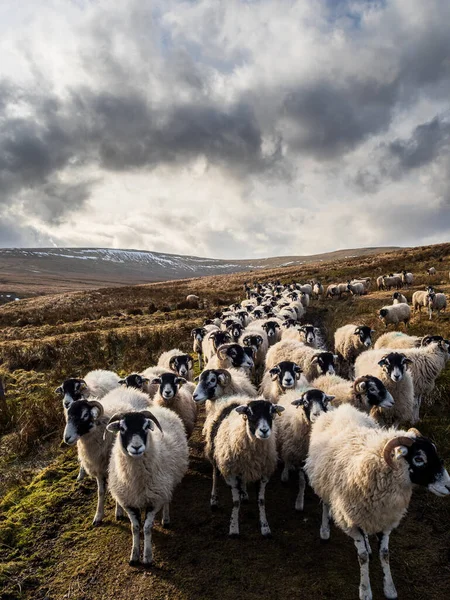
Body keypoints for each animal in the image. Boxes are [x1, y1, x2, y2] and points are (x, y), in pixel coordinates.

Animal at [62, 390, 152, 524]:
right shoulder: (99, 468)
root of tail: (132, 390)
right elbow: (100, 492)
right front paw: (98, 516)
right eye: (68, 415)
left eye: (85, 415)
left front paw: (118, 511)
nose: (66, 438)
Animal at [106, 406, 189, 564]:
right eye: (122, 428)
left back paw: (166, 519)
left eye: (145, 427)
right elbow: (135, 527)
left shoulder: (155, 499)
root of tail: (159, 407)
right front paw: (134, 556)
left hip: (166, 483)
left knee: (167, 499)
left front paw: (148, 557)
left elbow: (147, 528)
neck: (136, 481)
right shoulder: (129, 502)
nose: (136, 447)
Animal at [204, 398, 284, 536]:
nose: (264, 431)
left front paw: (265, 527)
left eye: (272, 412)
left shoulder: (263, 473)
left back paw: (244, 494)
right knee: (215, 475)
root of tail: (235, 399)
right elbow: (236, 503)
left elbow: (261, 501)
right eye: (250, 413)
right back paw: (214, 500)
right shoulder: (231, 472)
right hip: (214, 452)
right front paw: (233, 528)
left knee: (243, 480)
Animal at [304, 404, 448, 600]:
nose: (448, 486)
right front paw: (365, 590)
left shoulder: (385, 518)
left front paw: (389, 588)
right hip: (323, 480)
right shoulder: (351, 520)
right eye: (419, 459)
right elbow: (362, 556)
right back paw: (325, 530)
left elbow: (385, 554)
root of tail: (342, 408)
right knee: (326, 503)